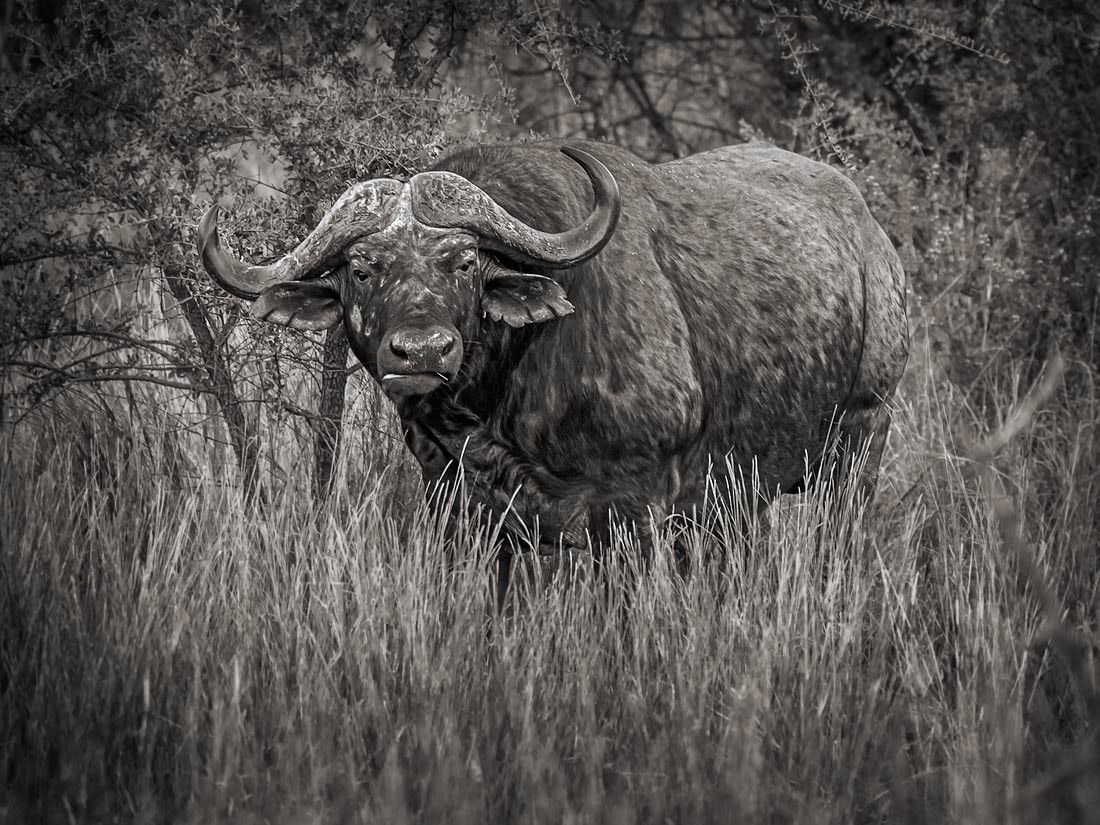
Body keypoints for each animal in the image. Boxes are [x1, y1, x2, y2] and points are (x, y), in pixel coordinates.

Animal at [196, 139, 908, 573]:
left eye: (465, 262)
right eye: (363, 270)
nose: (423, 350)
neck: (497, 410)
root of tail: (871, 234)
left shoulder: (636, 506)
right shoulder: (461, 509)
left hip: (861, 438)